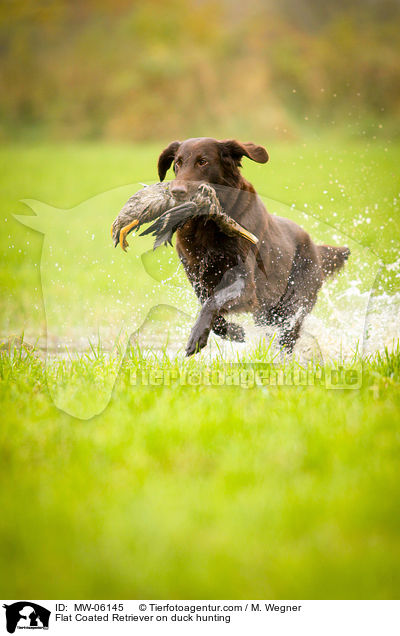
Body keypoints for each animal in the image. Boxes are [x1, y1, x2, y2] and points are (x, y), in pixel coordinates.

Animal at [156, 137, 350, 356]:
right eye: (178, 163)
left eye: (203, 162)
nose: (177, 192)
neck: (207, 225)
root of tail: (314, 247)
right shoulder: (197, 278)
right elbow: (209, 306)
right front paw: (233, 332)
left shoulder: (246, 285)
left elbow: (213, 302)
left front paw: (197, 337)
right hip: (267, 311)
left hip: (293, 303)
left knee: (287, 338)